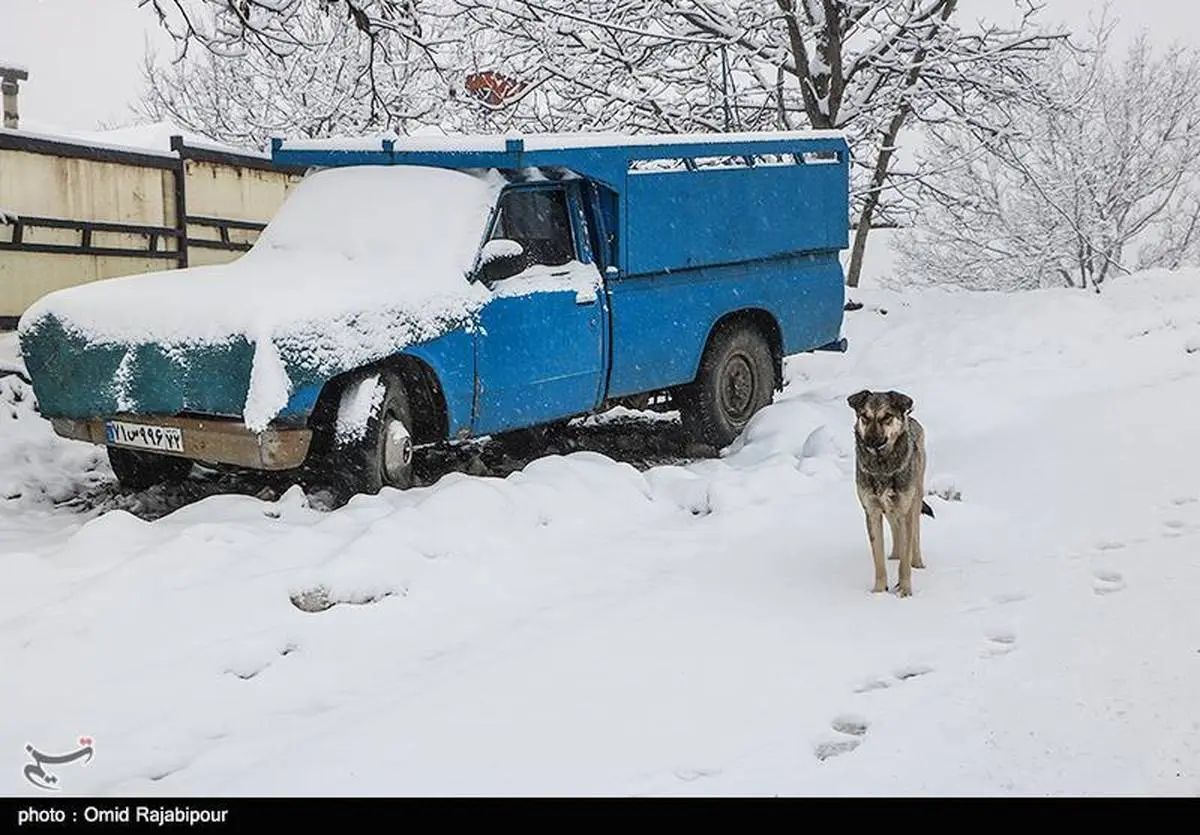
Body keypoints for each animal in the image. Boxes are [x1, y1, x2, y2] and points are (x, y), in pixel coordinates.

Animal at [849, 388, 931, 597]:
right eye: (864, 417)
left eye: (886, 417)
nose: (870, 441)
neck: (882, 468)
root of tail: (911, 418)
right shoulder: (872, 510)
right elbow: (877, 557)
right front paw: (879, 592)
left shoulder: (905, 509)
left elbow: (905, 560)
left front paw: (905, 592)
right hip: (890, 508)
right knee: (895, 529)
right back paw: (894, 555)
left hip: (915, 498)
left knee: (915, 534)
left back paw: (917, 562)